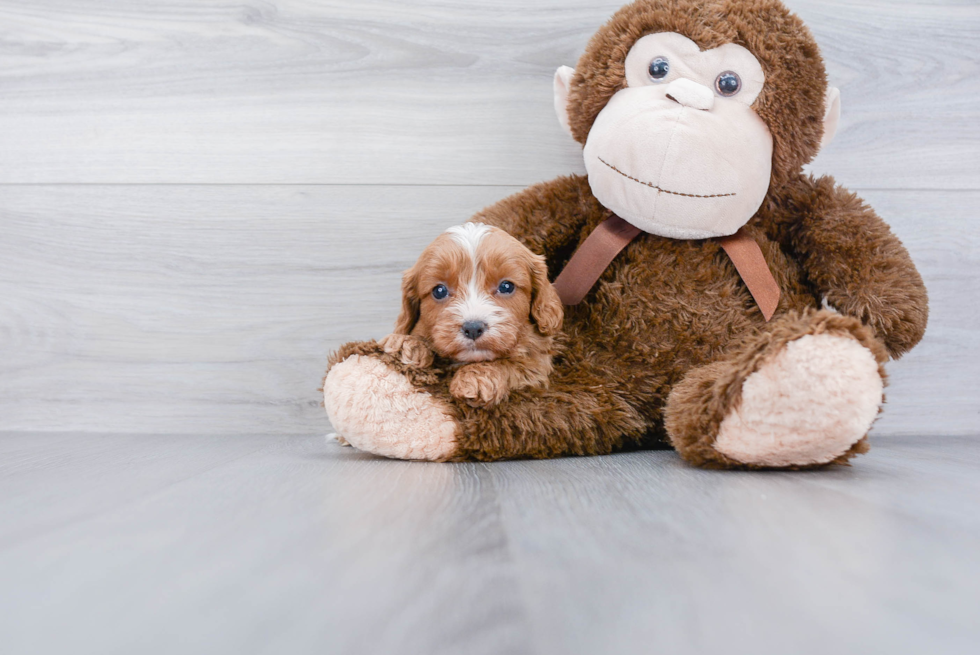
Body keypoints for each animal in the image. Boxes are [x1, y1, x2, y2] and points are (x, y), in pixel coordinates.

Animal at [382, 223, 568, 408]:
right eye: (439, 291)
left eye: (506, 286)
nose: (473, 328)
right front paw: (405, 343)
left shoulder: (536, 364)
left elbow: (511, 364)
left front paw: (475, 378)